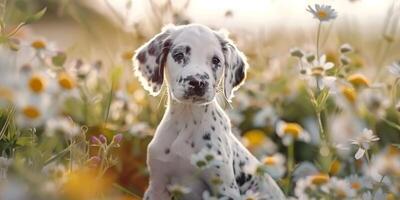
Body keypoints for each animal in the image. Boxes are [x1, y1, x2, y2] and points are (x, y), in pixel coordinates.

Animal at [133, 24, 286, 199]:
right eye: (179, 55)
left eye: (216, 60)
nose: (197, 82)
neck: (187, 119)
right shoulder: (157, 186)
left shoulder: (225, 188)